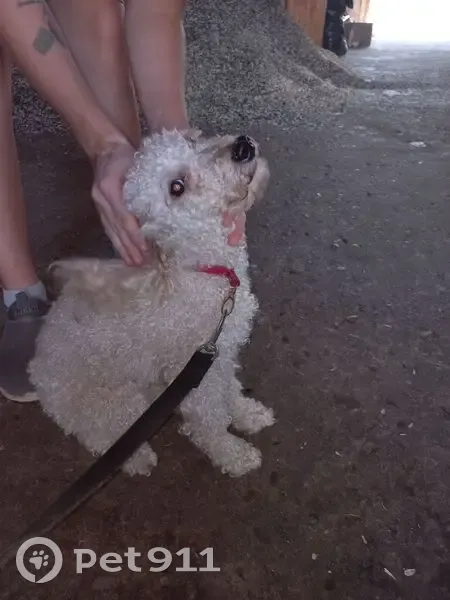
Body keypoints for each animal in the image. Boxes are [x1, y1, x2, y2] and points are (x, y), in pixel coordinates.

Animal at [28, 129, 275, 477]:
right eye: (177, 187)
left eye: (192, 139)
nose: (241, 147)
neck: (200, 269)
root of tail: (38, 377)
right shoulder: (193, 371)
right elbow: (210, 420)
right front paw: (232, 454)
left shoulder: (219, 354)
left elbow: (231, 389)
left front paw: (247, 414)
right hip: (116, 403)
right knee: (98, 434)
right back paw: (135, 458)